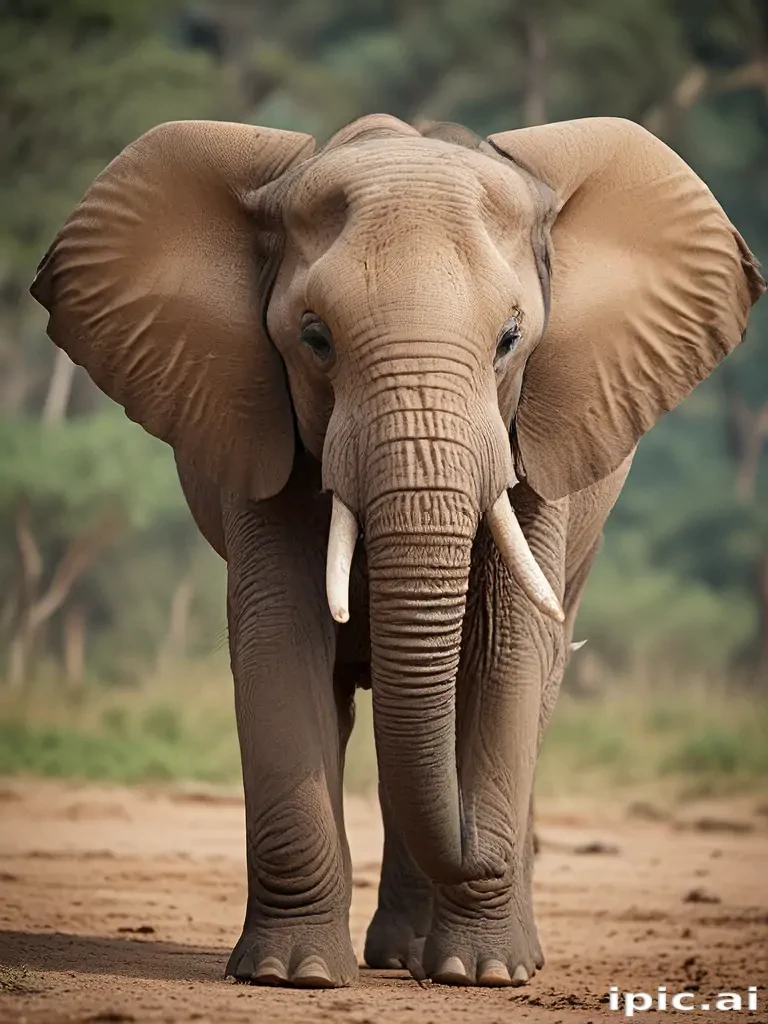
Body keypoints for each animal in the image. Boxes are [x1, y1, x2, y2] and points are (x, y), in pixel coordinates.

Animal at [30, 113, 764, 989]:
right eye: (314, 338)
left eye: (511, 339)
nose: (492, 854)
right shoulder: (257, 422)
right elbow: (280, 634)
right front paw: (292, 975)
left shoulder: (537, 435)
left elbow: (506, 651)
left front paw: (486, 974)